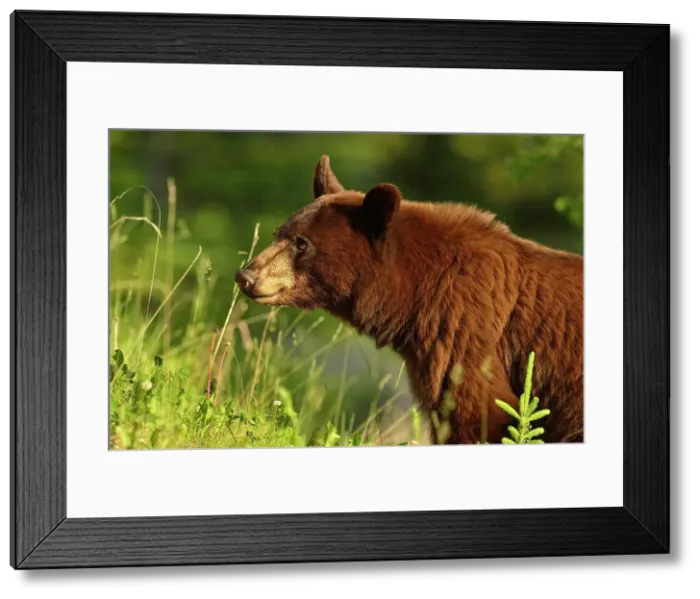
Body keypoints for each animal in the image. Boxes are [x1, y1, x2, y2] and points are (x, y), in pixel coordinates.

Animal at [235, 155, 584, 445]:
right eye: (278, 233)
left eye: (302, 243)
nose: (246, 276)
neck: (420, 289)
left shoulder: (467, 329)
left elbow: (478, 410)